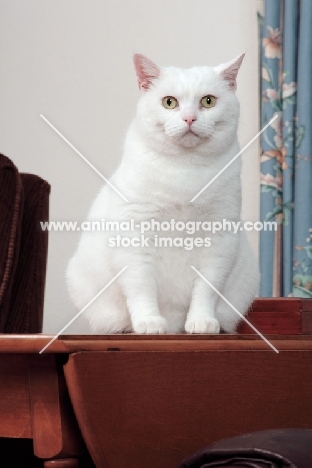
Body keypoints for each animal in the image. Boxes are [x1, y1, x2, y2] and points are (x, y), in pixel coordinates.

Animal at [67, 54, 260, 332]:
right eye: (169, 102)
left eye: (208, 101)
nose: (189, 118)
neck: (185, 171)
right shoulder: (134, 235)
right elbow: (141, 287)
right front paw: (148, 322)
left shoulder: (220, 237)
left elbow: (207, 288)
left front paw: (201, 322)